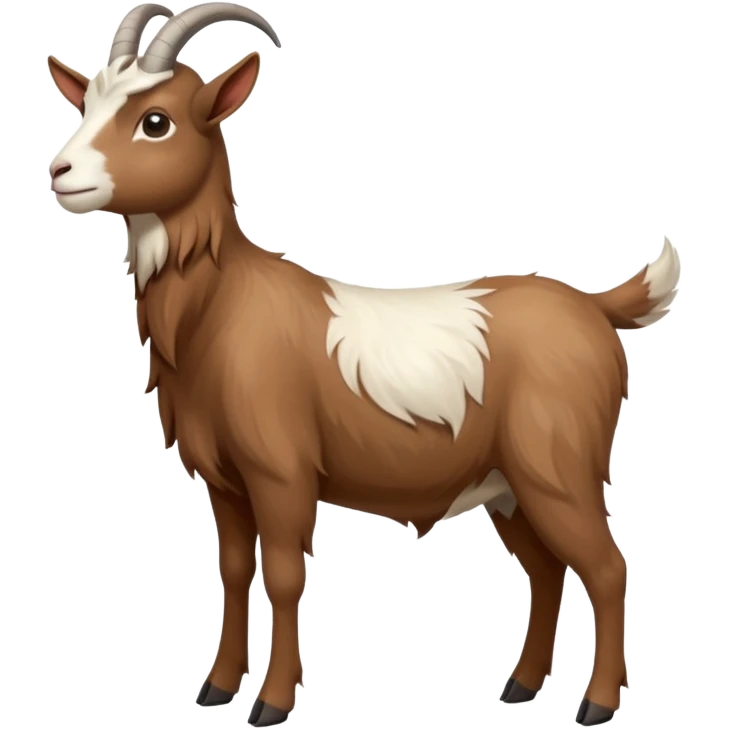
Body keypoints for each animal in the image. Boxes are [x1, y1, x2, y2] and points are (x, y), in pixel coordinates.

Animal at [47, 3, 680, 726]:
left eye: (156, 120)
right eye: (88, 101)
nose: (60, 171)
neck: (221, 305)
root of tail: (595, 307)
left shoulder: (281, 471)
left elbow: (284, 573)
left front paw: (271, 701)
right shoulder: (224, 480)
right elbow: (233, 569)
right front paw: (217, 686)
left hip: (558, 469)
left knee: (605, 567)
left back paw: (596, 703)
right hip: (507, 485)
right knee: (546, 570)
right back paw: (520, 686)